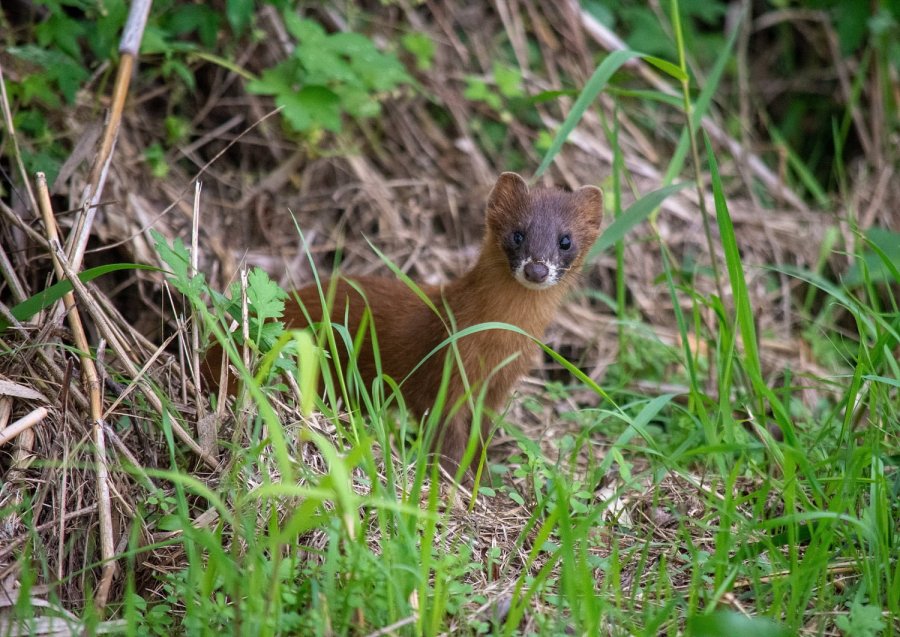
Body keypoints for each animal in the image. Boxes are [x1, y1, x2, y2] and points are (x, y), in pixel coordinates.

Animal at [200, 171, 600, 474]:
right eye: (517, 233)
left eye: (565, 241)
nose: (537, 268)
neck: (496, 344)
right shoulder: (446, 372)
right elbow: (447, 441)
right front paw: (453, 486)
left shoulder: (496, 388)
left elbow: (479, 440)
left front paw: (481, 480)